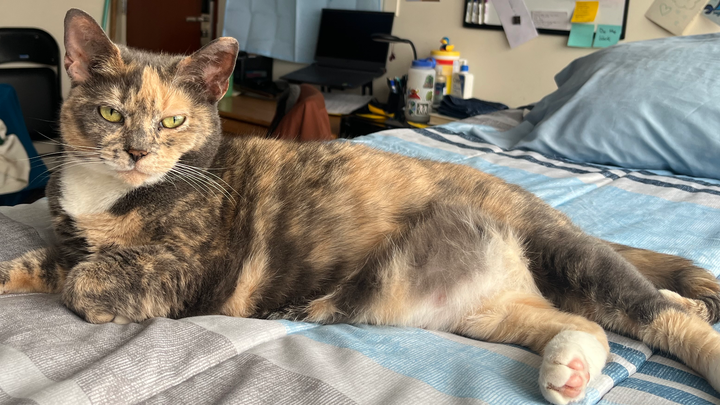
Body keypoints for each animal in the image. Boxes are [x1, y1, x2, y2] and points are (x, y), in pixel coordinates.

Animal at [2, 9, 720, 404]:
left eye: (174, 120)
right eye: (110, 113)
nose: (137, 152)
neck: (107, 195)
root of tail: (530, 200)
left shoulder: (182, 269)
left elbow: (86, 281)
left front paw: (81, 283)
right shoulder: (66, 238)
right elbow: (38, 261)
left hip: (564, 253)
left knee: (658, 316)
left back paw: (685, 324)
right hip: (488, 307)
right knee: (581, 323)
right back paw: (569, 370)